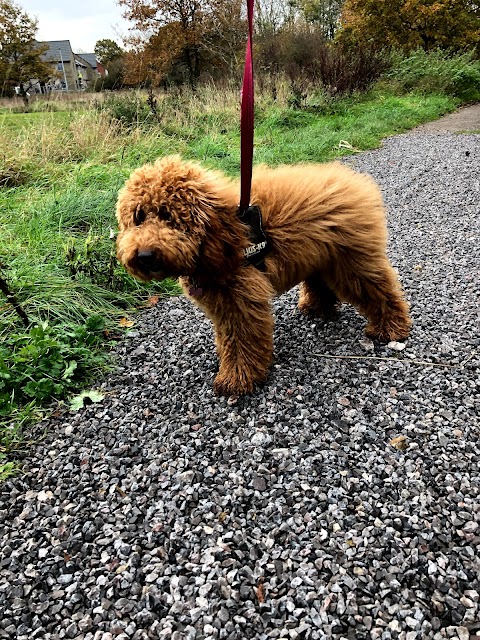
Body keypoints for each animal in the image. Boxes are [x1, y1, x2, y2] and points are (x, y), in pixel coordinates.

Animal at [114, 155, 410, 396]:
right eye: (138, 217)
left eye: (169, 216)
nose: (144, 255)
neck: (220, 237)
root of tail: (353, 180)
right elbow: (230, 339)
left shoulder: (240, 299)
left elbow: (241, 340)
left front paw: (236, 379)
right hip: (320, 255)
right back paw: (316, 308)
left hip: (351, 261)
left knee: (379, 290)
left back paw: (390, 328)